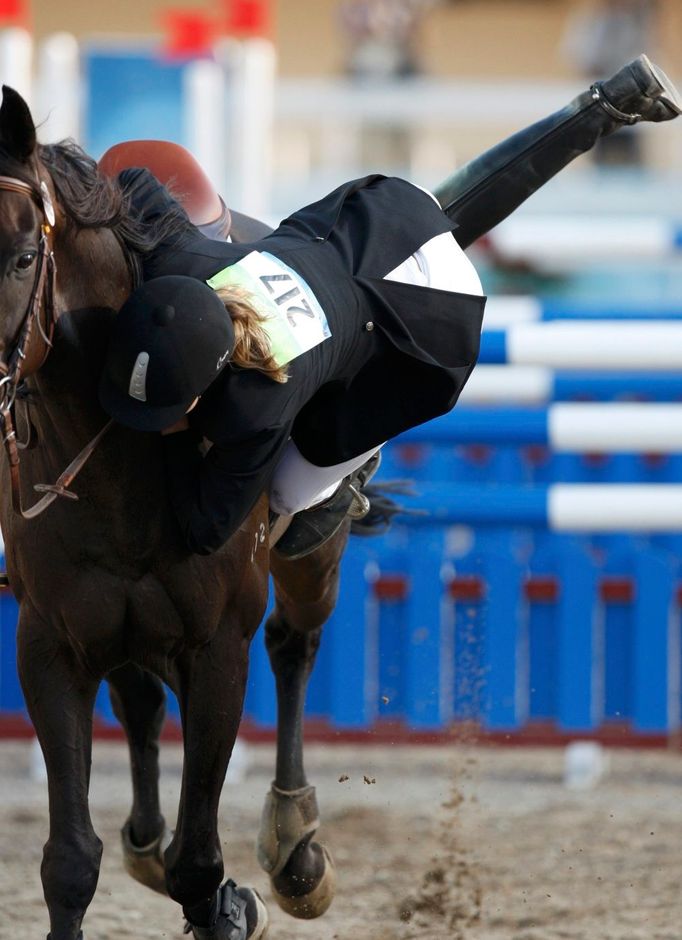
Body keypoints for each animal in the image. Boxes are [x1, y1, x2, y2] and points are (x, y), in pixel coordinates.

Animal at [0, 84, 340, 936]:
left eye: (23, 257)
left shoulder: (216, 646)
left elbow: (201, 857)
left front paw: (229, 898)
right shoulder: (50, 642)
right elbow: (70, 861)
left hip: (310, 553)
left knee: (293, 643)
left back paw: (294, 842)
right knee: (143, 703)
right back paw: (150, 839)